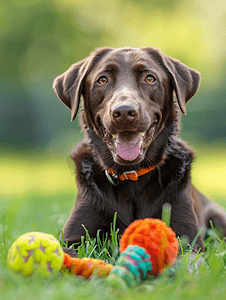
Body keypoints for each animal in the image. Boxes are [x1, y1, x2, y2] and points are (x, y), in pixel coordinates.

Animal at [52, 45, 226, 254]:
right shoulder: (74, 236)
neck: (130, 175)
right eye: (102, 79)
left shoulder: (188, 240)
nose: (124, 112)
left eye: (150, 78)